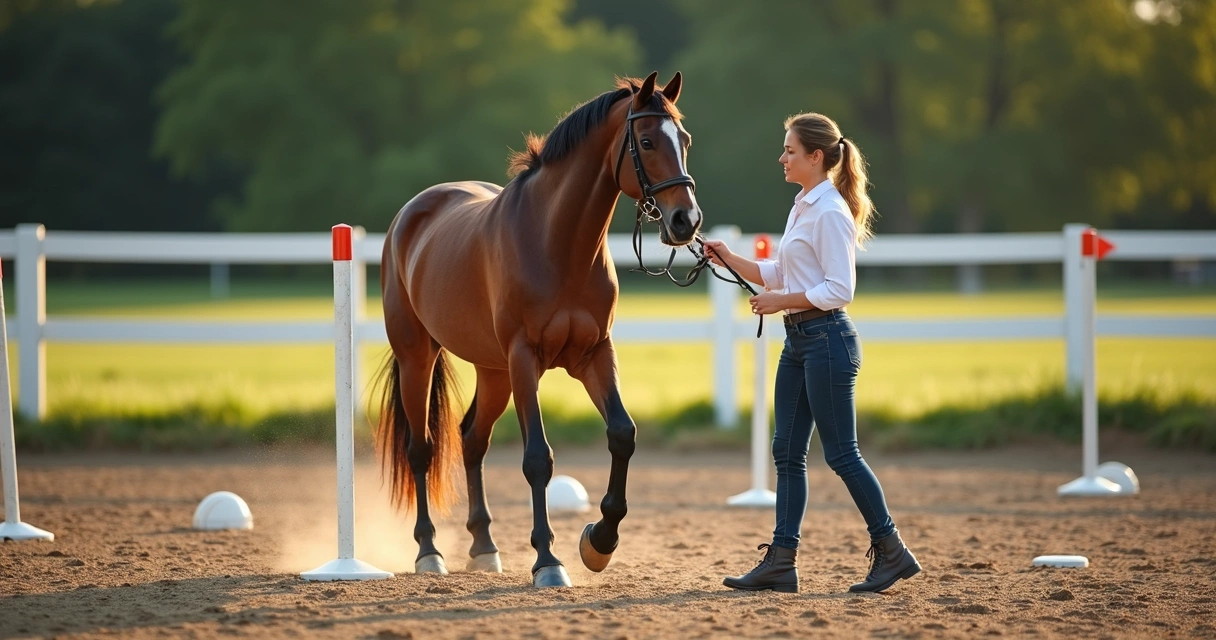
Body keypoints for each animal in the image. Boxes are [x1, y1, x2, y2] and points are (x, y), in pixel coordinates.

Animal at [374, 71, 701, 587]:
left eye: (684, 140)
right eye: (647, 141)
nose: (685, 221)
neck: (557, 243)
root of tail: (411, 214)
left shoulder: (594, 354)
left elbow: (622, 434)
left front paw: (599, 541)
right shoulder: (524, 357)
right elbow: (537, 459)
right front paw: (548, 560)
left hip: (493, 372)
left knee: (472, 440)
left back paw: (484, 547)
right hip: (418, 357)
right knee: (421, 448)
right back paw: (429, 552)